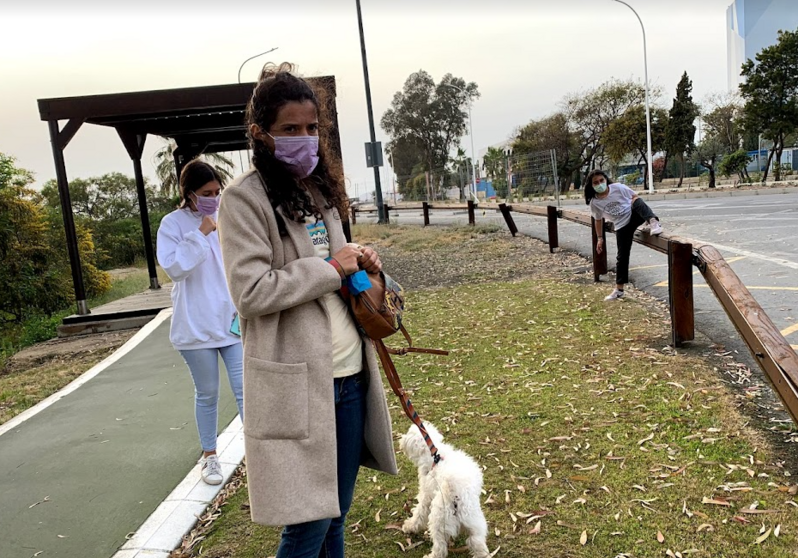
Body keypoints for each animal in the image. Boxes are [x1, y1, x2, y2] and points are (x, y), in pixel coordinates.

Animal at [398, 424, 490, 558]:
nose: (400, 439)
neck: (434, 455)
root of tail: (455, 495)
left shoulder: (426, 494)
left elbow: (419, 512)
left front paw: (410, 526)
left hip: (438, 522)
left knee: (440, 548)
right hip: (476, 523)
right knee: (477, 543)